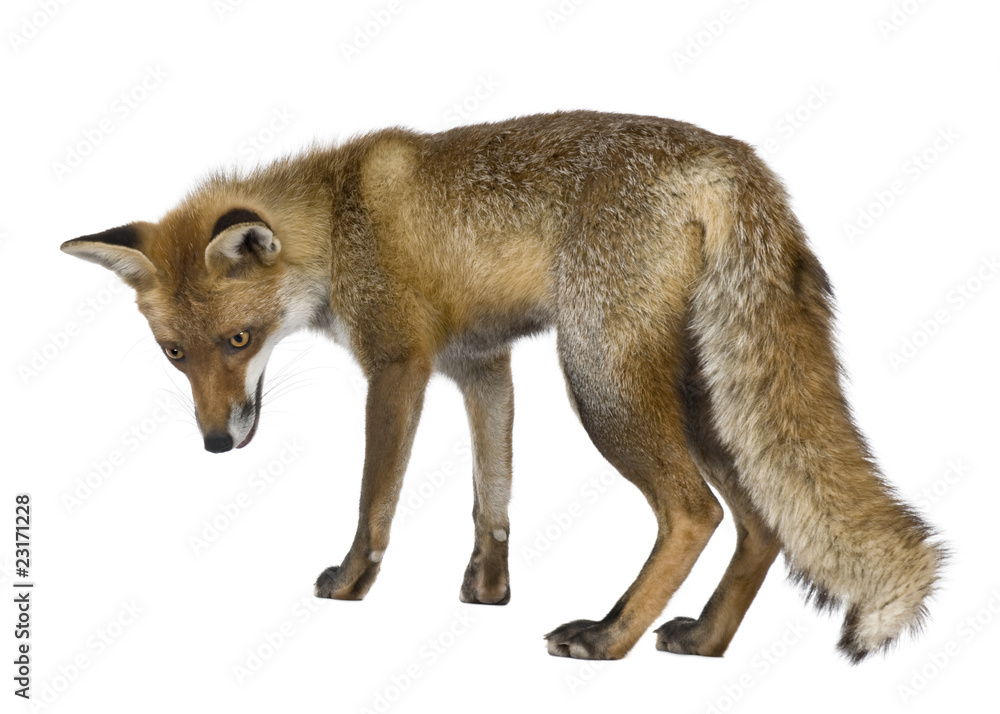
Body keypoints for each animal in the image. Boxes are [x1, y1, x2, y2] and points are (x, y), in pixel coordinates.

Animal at [61, 110, 943, 662]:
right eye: (175, 353)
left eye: (238, 342)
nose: (216, 442)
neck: (338, 223)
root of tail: (732, 156)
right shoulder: (481, 365)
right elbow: (493, 494)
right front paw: (488, 589)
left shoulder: (399, 365)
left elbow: (375, 498)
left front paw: (353, 583)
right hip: (700, 396)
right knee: (762, 527)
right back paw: (703, 642)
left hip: (601, 380)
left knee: (696, 515)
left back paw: (609, 638)